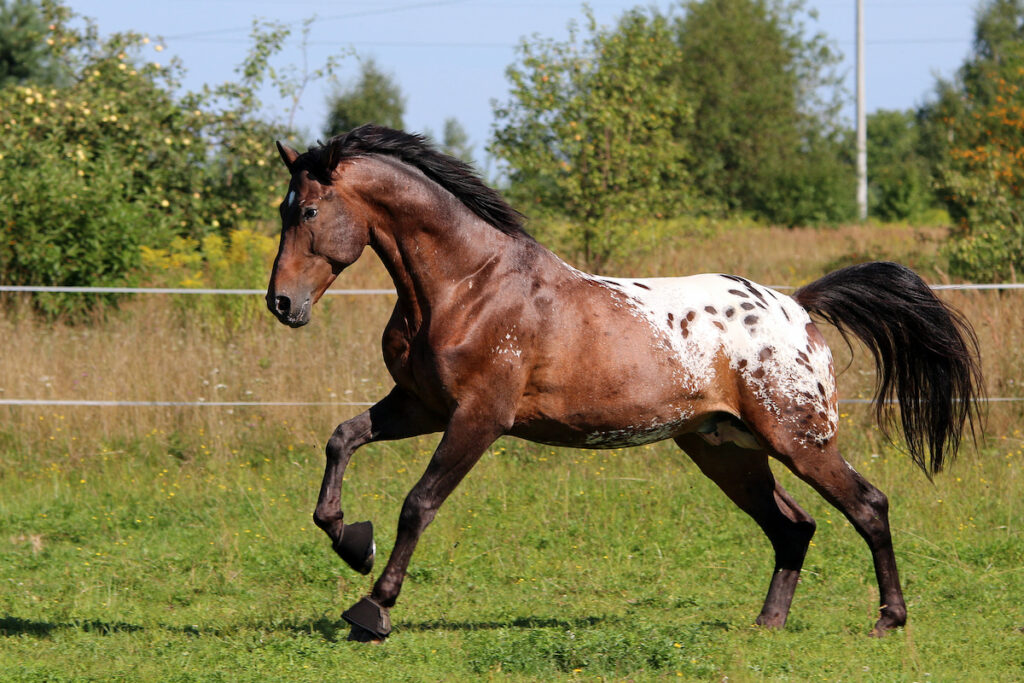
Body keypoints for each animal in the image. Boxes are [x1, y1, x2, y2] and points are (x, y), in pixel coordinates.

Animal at [266, 124, 983, 643]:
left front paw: (372, 608)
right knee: (793, 527)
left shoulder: (477, 418)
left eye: (308, 211)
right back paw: (766, 626)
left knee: (868, 505)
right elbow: (342, 438)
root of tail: (797, 306)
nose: (281, 303)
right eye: (283, 209)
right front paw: (351, 542)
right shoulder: (421, 405)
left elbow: (418, 503)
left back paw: (888, 620)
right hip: (726, 450)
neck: (467, 285)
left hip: (798, 439)